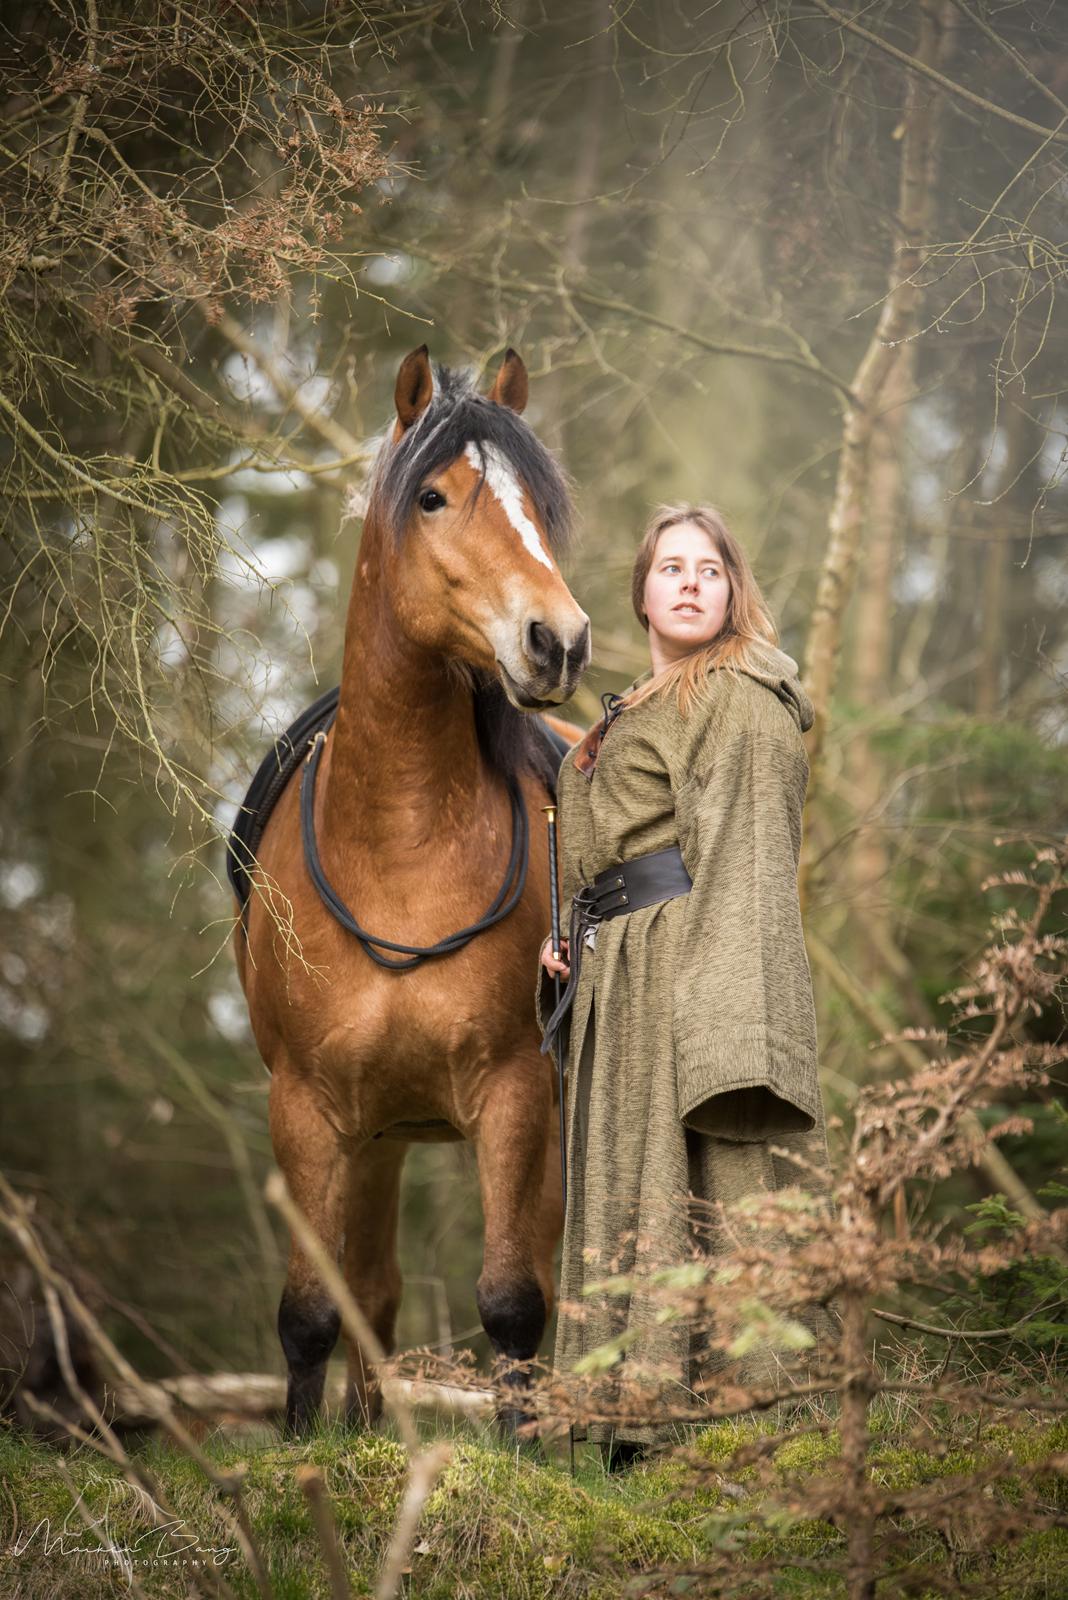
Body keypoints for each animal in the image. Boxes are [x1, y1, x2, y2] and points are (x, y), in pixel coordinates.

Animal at [231, 340, 591, 1440]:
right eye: (433, 497)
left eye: (539, 506)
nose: (558, 640)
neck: (400, 844)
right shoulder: (309, 1108)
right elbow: (314, 1310)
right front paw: (309, 1452)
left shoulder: (514, 1094)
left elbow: (514, 1300)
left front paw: (522, 1456)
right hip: (378, 1135)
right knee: (374, 1292)